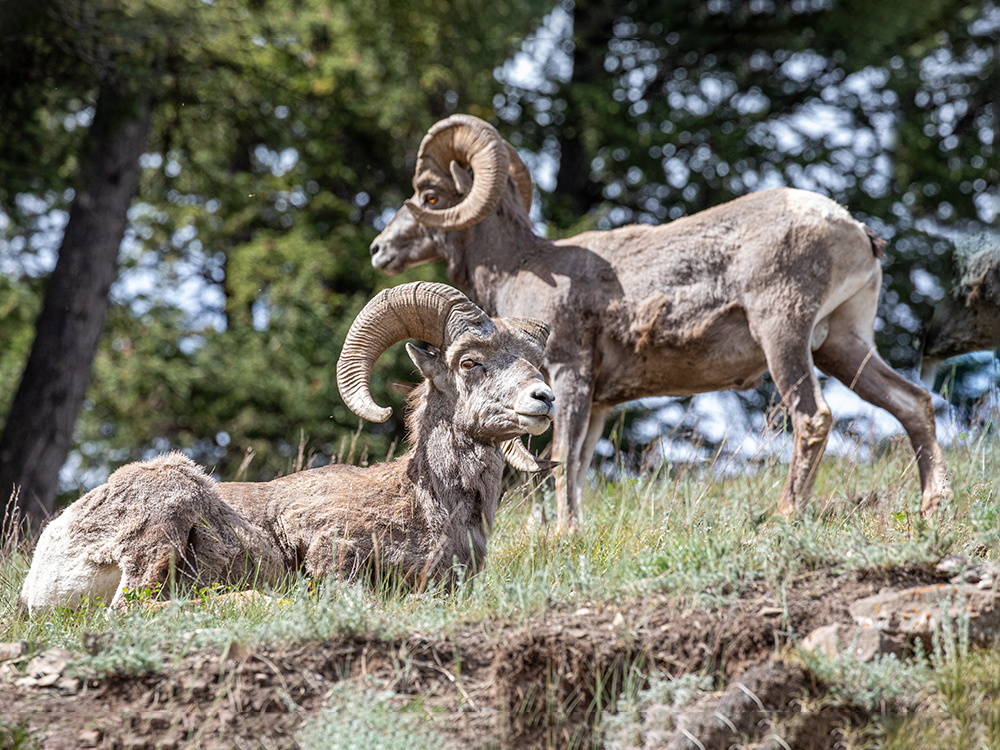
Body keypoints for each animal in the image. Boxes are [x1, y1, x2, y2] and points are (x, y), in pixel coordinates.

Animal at [17, 284, 556, 612]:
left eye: (535, 363)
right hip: (168, 510)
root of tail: (47, 562)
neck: (430, 508)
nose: (544, 398)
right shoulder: (327, 546)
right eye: (469, 362)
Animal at [370, 116, 952, 528]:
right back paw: (932, 507)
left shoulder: (569, 379)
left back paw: (786, 515)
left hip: (784, 335)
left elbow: (561, 458)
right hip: (845, 345)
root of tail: (851, 228)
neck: (525, 265)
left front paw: (562, 534)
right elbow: (578, 465)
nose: (379, 249)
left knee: (814, 418)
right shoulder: (600, 404)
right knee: (912, 403)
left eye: (429, 196)